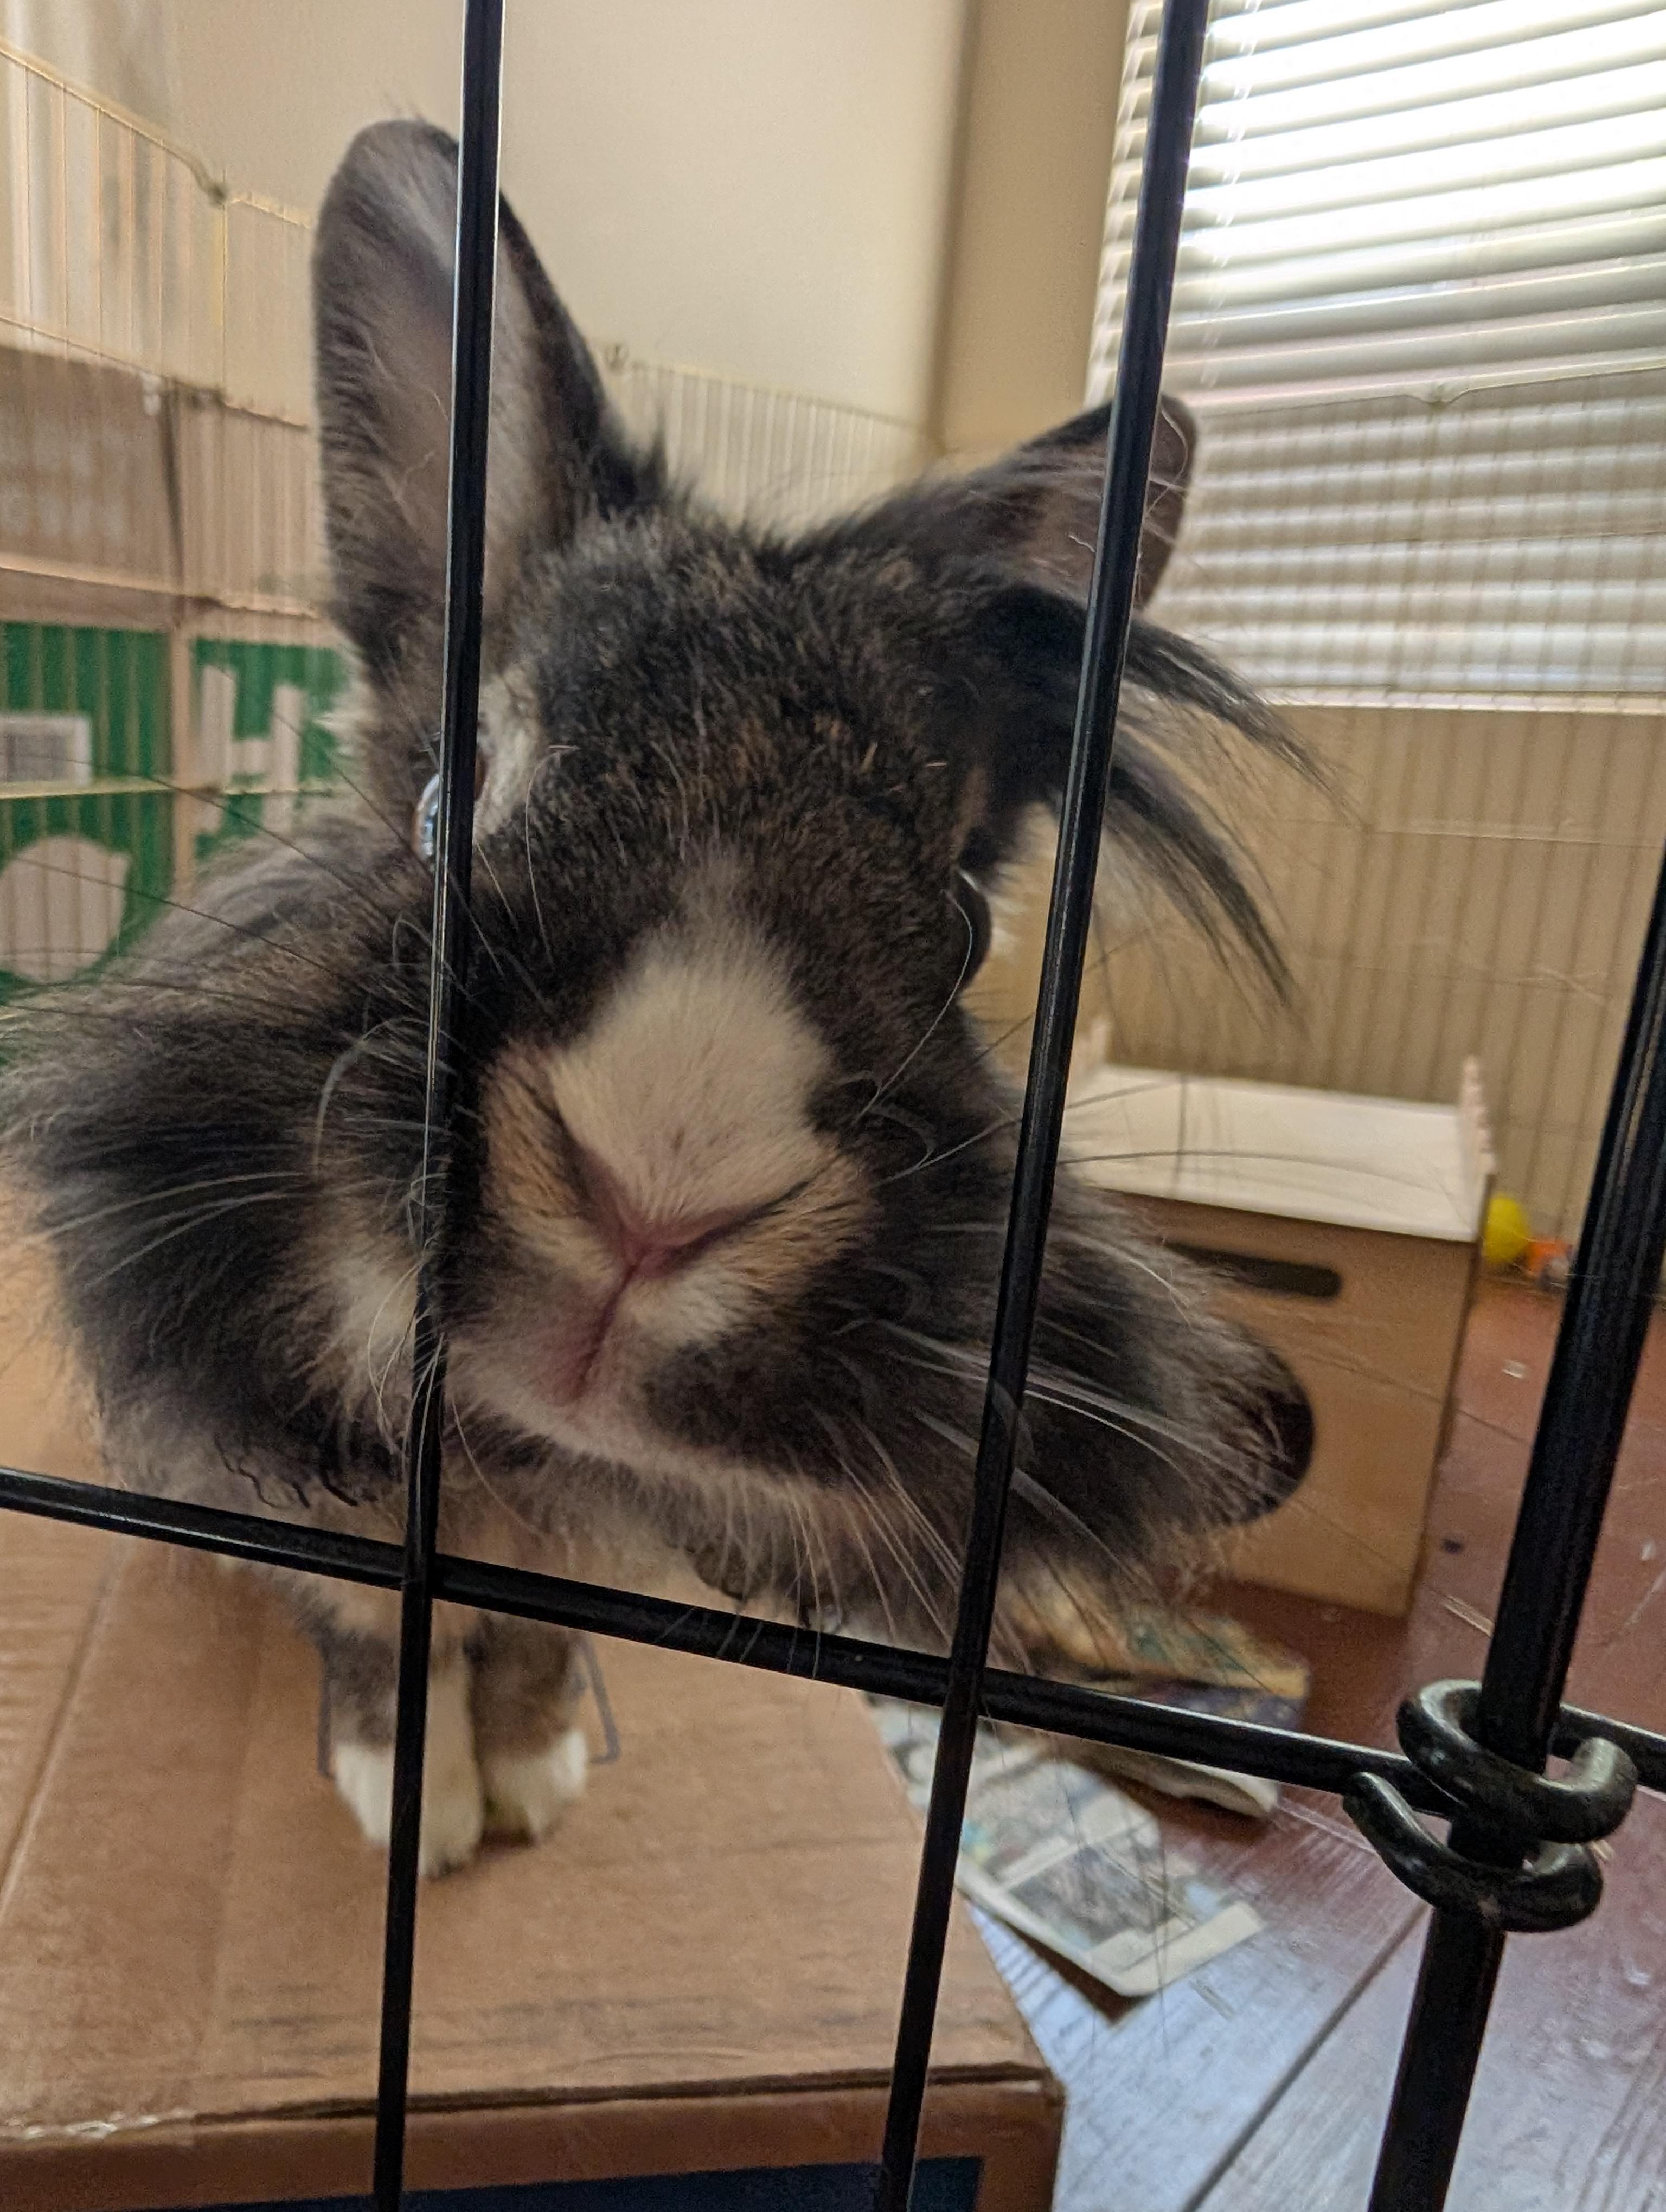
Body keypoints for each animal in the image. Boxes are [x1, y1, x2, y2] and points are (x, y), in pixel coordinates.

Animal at [1, 120, 1312, 1876]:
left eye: (962, 925)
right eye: (449, 802)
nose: (653, 1197)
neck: (510, 1470)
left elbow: (542, 1645)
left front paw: (536, 1768)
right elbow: (372, 1635)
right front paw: (412, 1808)